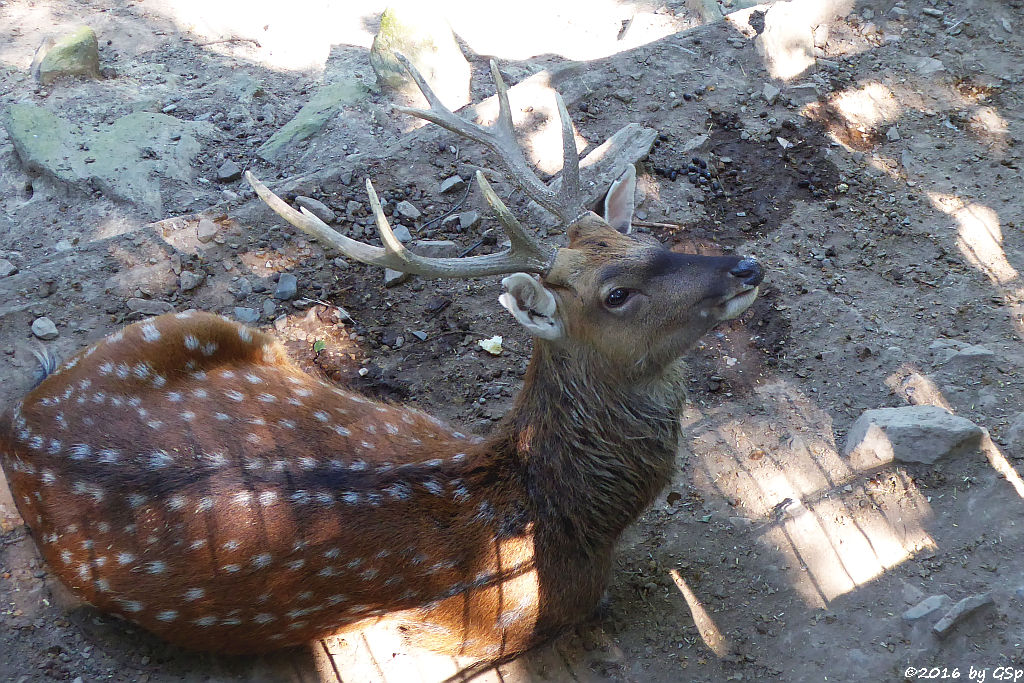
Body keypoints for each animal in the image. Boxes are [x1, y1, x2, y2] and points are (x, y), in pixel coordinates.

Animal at [0, 57, 757, 655]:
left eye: (642, 237)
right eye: (616, 293)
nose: (745, 267)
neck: (561, 523)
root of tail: (21, 429)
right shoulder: (495, 630)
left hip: (175, 325)